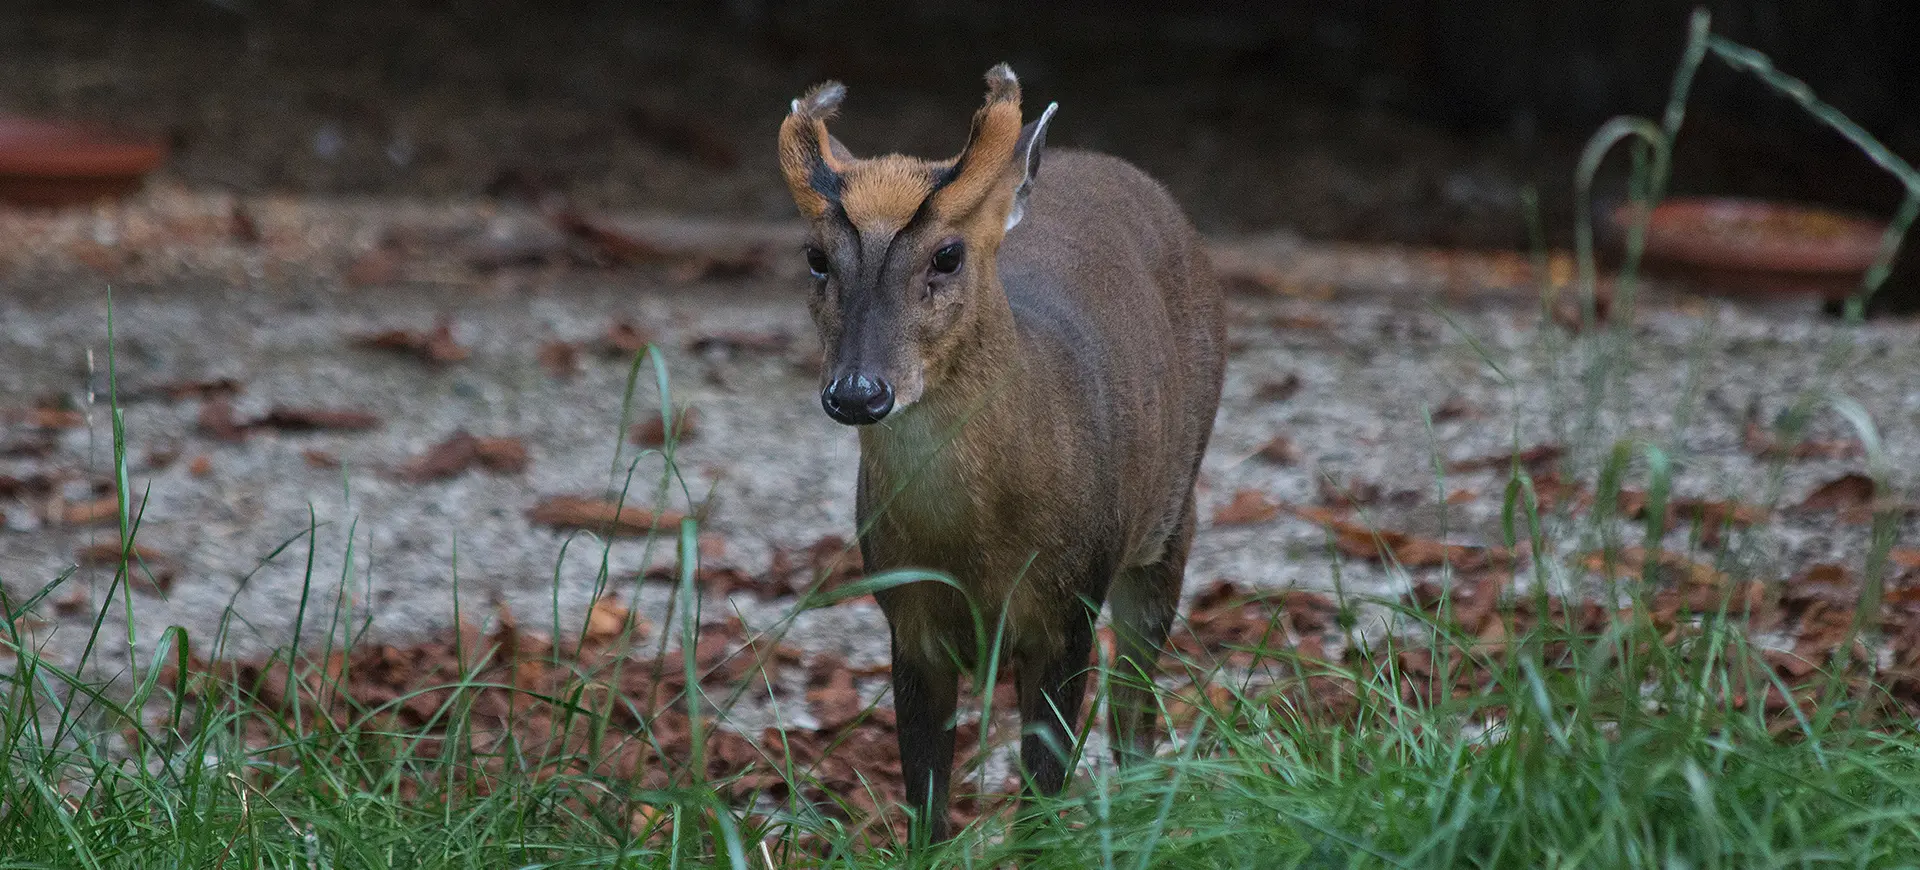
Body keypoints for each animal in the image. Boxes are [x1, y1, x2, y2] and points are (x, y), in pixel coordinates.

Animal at [771, 62, 1221, 841]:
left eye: (948, 254)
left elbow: (1042, 795)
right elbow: (925, 800)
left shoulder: (1068, 610)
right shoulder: (908, 616)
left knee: (1135, 703)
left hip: (1169, 520)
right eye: (817, 257)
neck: (978, 549)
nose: (858, 391)